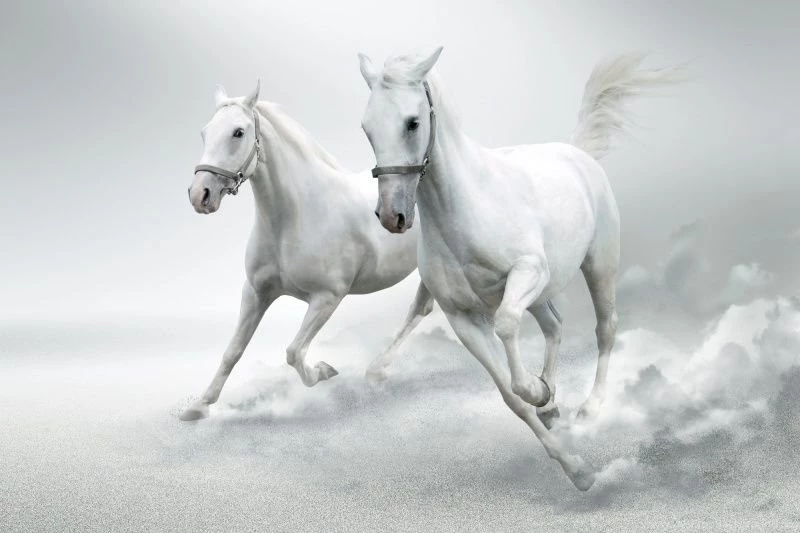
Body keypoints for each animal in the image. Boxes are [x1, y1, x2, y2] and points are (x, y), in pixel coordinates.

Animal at [180, 82, 434, 421]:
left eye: (238, 132)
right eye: (205, 132)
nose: (200, 195)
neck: (297, 216)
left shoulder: (327, 297)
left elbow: (294, 352)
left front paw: (324, 371)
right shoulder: (256, 293)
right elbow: (233, 351)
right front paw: (199, 406)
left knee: (420, 309)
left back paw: (377, 369)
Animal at [358, 49, 684, 489]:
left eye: (412, 122)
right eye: (367, 128)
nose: (392, 216)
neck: (468, 207)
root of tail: (576, 153)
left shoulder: (527, 273)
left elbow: (509, 325)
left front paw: (538, 392)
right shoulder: (463, 318)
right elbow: (511, 397)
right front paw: (573, 463)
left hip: (599, 264)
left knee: (605, 327)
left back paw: (590, 408)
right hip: (544, 293)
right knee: (555, 325)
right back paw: (553, 404)